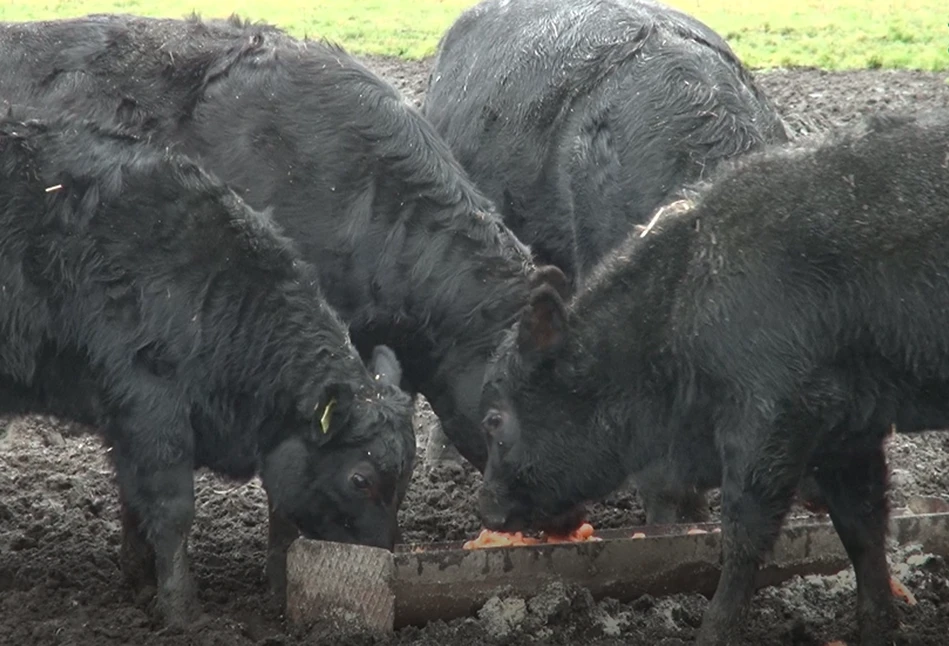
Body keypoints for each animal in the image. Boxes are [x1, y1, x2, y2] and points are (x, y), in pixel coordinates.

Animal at [0, 110, 414, 628]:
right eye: (360, 479)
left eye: (408, 477)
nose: (383, 564)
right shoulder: (150, 408)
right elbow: (171, 509)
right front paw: (181, 608)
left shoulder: (128, 424)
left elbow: (137, 500)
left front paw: (142, 581)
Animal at [478, 111, 948, 646]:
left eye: (494, 419)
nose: (487, 510)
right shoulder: (849, 430)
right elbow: (863, 526)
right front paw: (876, 626)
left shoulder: (770, 420)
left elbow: (744, 533)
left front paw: (712, 629)